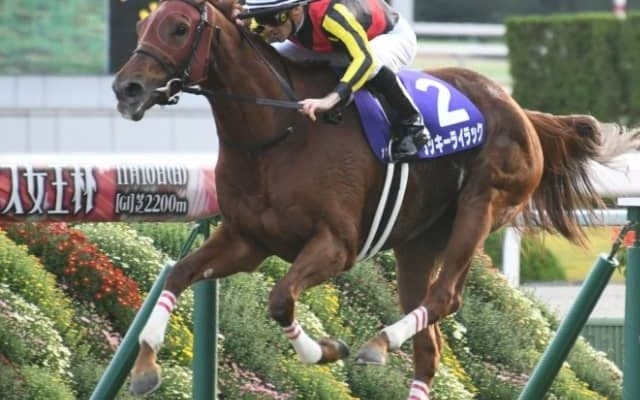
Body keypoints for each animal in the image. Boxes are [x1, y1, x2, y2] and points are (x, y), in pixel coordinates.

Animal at [112, 0, 639, 398]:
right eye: (141, 25)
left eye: (179, 27)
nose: (126, 88)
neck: (280, 131)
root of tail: (521, 111)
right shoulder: (247, 240)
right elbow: (177, 275)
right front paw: (145, 367)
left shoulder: (336, 244)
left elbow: (280, 300)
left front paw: (326, 350)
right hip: (417, 243)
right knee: (429, 346)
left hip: (482, 206)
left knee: (444, 297)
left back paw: (379, 342)